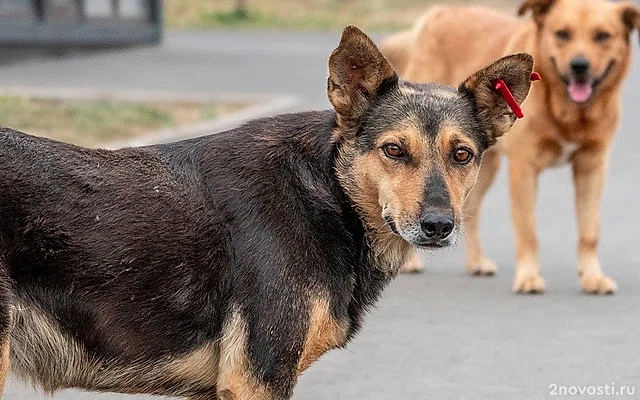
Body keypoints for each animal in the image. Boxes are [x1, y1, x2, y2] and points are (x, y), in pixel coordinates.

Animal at [382, 0, 636, 294]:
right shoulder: (524, 168)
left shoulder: (592, 167)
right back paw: (411, 262)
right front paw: (529, 277)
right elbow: (528, 230)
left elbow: (589, 230)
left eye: (603, 36)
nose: (579, 66)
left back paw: (477, 262)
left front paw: (593, 278)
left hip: (476, 168)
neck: (568, 114)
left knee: (470, 210)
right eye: (562, 34)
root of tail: (440, 11)